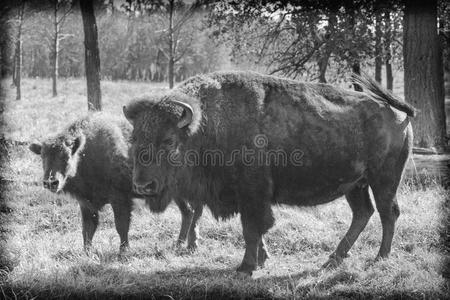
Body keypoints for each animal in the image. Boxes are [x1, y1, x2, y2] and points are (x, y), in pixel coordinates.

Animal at [29, 113, 202, 254]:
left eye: (66, 156)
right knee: (188, 212)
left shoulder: (119, 198)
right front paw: (87, 252)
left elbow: (121, 225)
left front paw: (123, 251)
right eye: (43, 157)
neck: (86, 151)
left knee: (191, 211)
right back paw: (178, 244)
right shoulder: (86, 203)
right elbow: (87, 229)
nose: (51, 182)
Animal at [122, 69, 414, 274]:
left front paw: (246, 267)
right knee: (363, 213)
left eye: (169, 141)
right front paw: (262, 260)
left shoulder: (253, 194)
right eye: (134, 138)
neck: (207, 124)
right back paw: (333, 259)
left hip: (383, 180)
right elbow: (256, 230)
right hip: (355, 185)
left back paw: (379, 258)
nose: (143, 186)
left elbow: (252, 228)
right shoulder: (248, 197)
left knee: (388, 213)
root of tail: (398, 113)